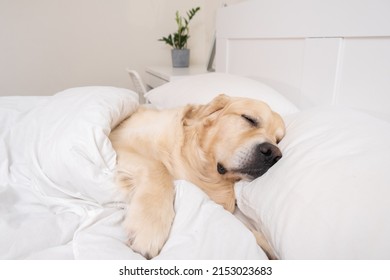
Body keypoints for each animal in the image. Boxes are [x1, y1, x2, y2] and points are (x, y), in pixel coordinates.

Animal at [108, 94, 284, 260]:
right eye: (249, 119)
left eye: (278, 140)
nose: (273, 154)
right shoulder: (117, 140)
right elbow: (158, 167)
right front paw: (148, 226)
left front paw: (267, 247)